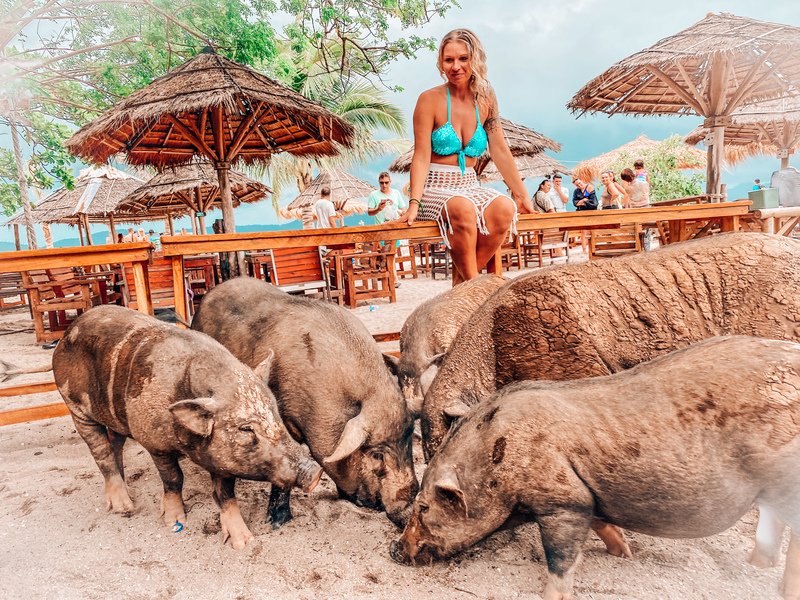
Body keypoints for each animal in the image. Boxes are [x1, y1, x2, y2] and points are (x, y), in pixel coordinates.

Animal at [52, 305, 322, 549]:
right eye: (246, 429)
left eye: (276, 414)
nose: (315, 473)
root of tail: (69, 330)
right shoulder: (154, 443)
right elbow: (173, 479)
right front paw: (173, 520)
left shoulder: (221, 459)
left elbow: (225, 493)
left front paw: (243, 542)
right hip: (74, 406)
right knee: (101, 451)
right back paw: (124, 508)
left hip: (114, 417)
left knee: (114, 443)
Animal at [392, 336, 800, 600]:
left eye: (424, 507)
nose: (396, 550)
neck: (497, 462)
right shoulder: (585, 495)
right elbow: (602, 521)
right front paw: (626, 554)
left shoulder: (562, 500)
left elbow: (560, 557)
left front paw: (551, 595)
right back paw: (756, 564)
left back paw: (781, 587)